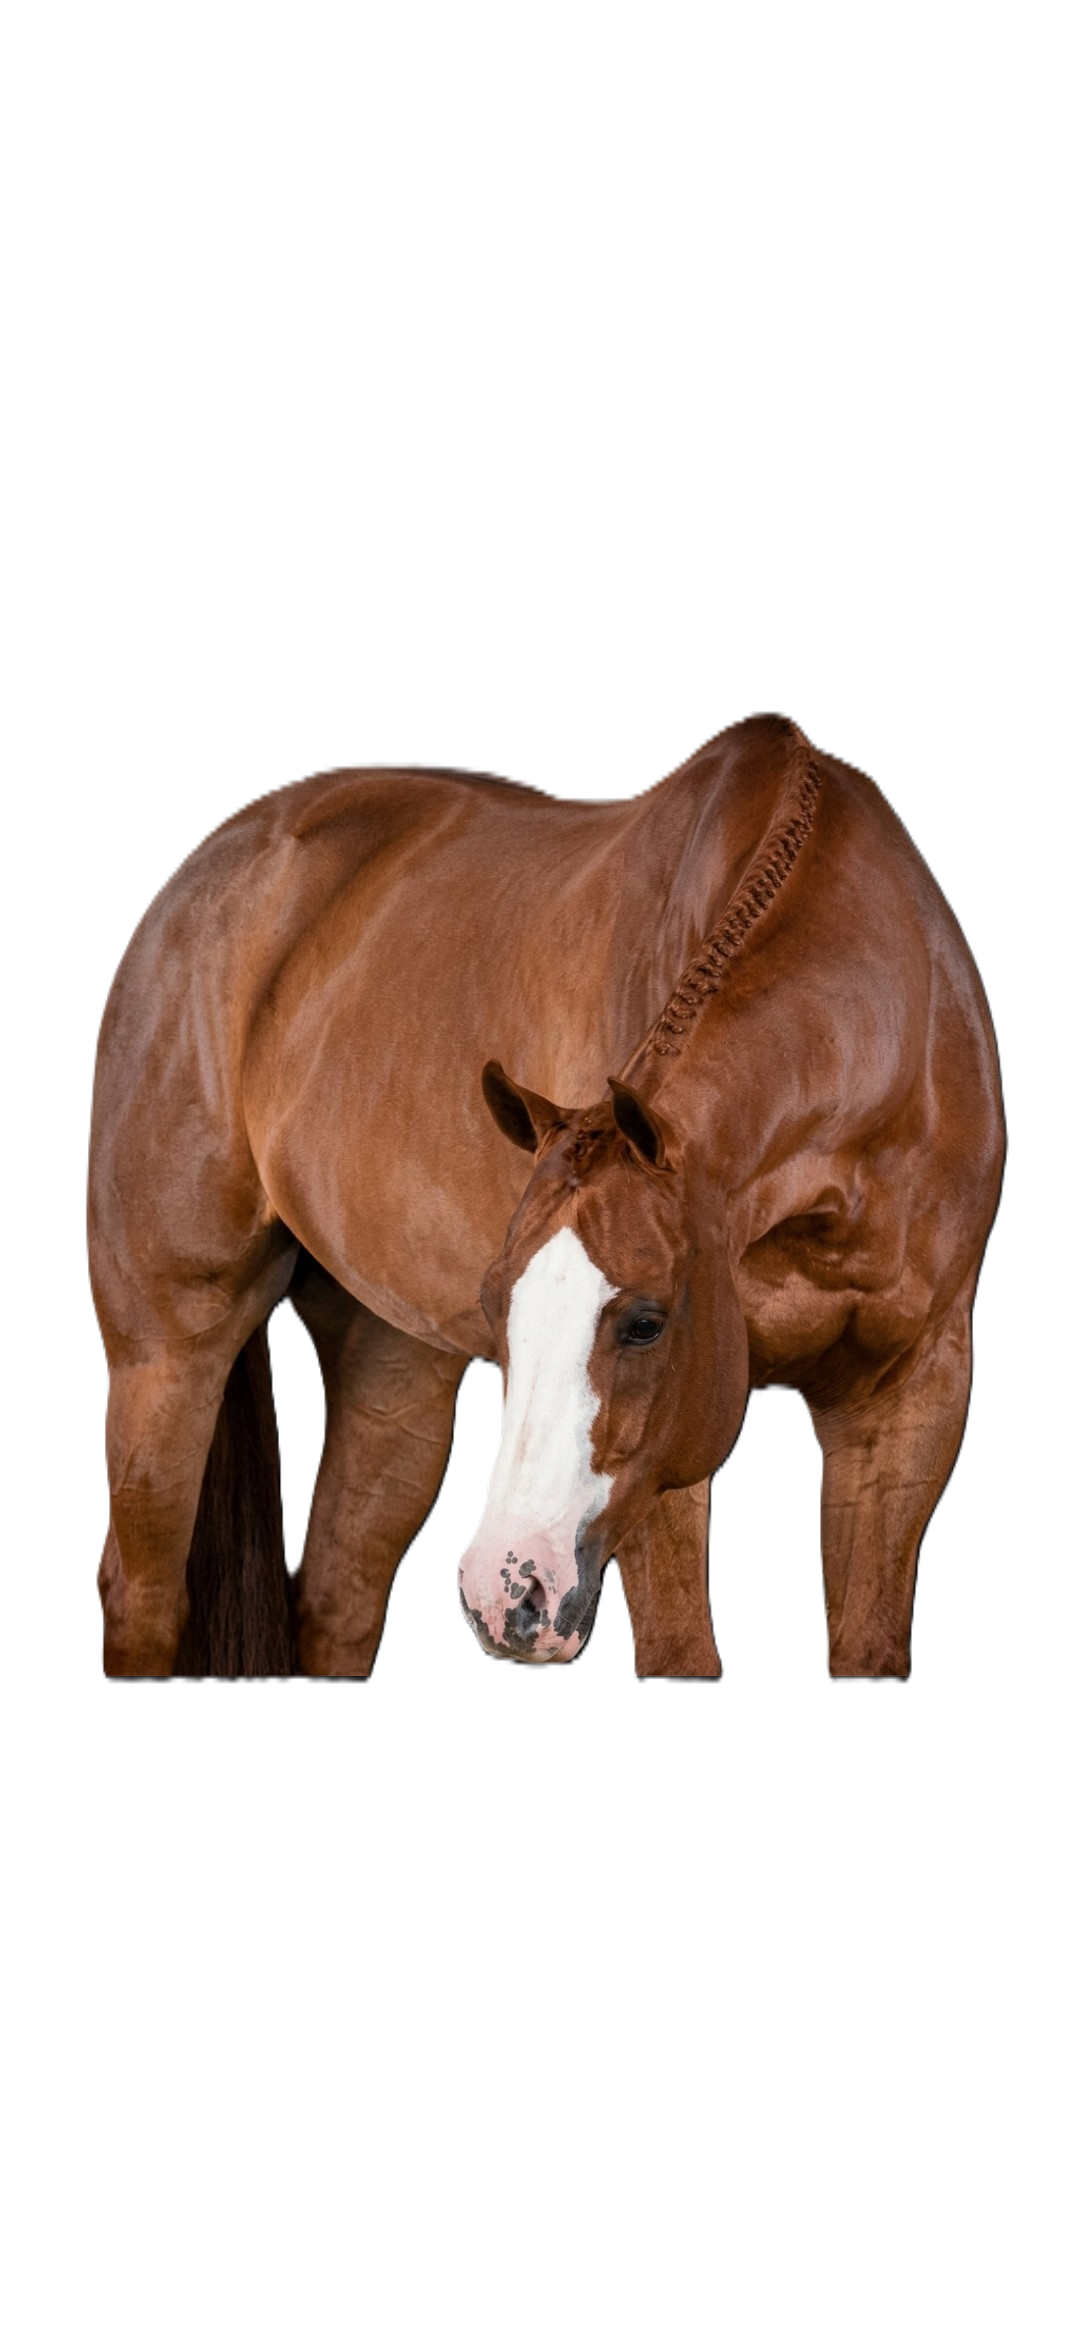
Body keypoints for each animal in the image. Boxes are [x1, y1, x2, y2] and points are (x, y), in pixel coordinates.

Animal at [88, 713, 1006, 1680]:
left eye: (645, 1322)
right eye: (498, 1304)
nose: (508, 1589)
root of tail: (217, 865)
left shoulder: (907, 1402)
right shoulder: (665, 1473)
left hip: (393, 1361)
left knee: (337, 1597)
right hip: (167, 1348)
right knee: (143, 1596)